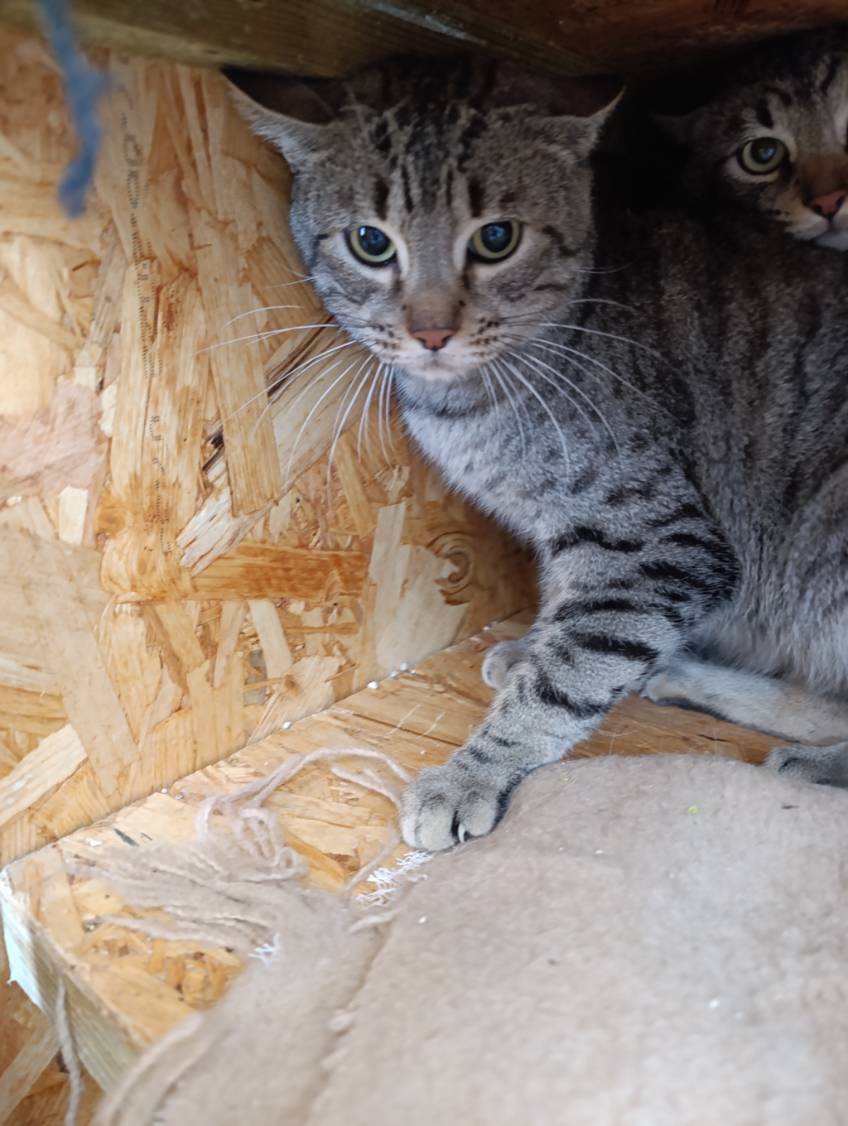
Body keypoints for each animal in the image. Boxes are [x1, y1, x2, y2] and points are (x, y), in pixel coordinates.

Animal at [228, 56, 848, 851]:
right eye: (371, 242)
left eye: (496, 238)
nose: (431, 331)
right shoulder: (581, 535)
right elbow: (567, 612)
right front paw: (530, 648)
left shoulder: (660, 541)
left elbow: (573, 669)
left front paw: (475, 770)